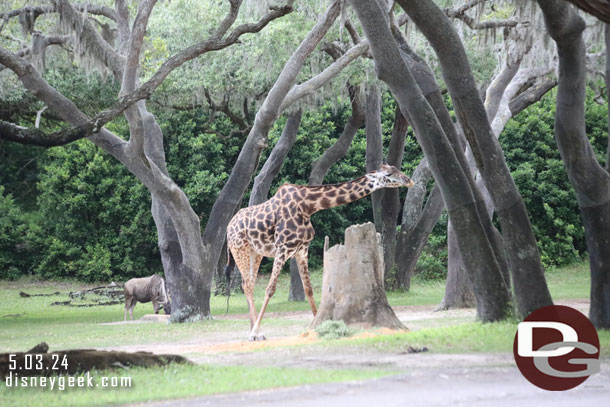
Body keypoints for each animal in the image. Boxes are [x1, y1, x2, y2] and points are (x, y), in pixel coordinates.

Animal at [226, 163, 416, 342]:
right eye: (388, 174)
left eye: (396, 169)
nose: (409, 181)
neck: (308, 206)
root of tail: (228, 227)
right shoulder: (283, 247)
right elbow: (270, 289)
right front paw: (254, 333)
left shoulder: (301, 249)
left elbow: (308, 290)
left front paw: (318, 325)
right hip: (240, 249)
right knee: (248, 285)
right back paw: (255, 333)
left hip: (256, 253)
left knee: (248, 283)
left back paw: (254, 329)